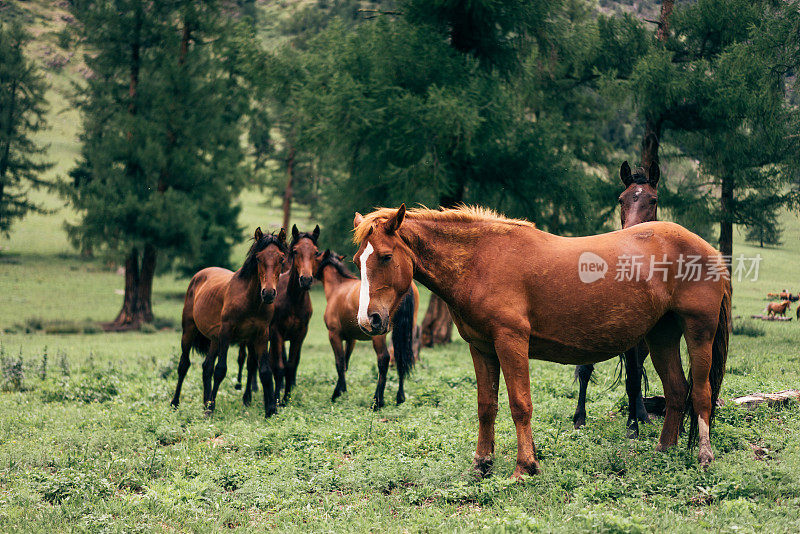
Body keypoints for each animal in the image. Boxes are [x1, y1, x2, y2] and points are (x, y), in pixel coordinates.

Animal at [170, 226, 290, 418]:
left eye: (281, 258)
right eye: (258, 258)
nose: (268, 293)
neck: (250, 301)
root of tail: (199, 276)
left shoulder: (261, 335)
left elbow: (264, 371)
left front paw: (271, 411)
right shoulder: (226, 332)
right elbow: (221, 370)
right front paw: (211, 409)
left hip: (214, 339)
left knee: (206, 367)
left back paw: (205, 402)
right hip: (188, 331)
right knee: (184, 365)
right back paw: (175, 403)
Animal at [238, 224, 322, 404]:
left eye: (316, 252)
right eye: (295, 251)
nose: (306, 280)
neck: (293, 300)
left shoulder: (300, 334)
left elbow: (290, 365)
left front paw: (286, 397)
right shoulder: (276, 333)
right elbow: (279, 367)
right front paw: (276, 398)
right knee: (251, 363)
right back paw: (248, 394)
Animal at [312, 249, 418, 408]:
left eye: (314, 258)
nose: (305, 279)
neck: (338, 288)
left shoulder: (334, 335)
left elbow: (339, 362)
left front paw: (337, 394)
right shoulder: (351, 339)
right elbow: (345, 362)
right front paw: (342, 390)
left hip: (379, 334)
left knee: (384, 359)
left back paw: (377, 401)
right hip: (405, 332)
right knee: (400, 358)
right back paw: (400, 398)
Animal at [356, 204, 732, 478]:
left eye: (386, 256)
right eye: (358, 260)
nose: (368, 320)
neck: (481, 260)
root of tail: (708, 250)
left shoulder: (511, 342)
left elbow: (520, 405)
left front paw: (525, 467)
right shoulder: (481, 348)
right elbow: (486, 406)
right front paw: (482, 464)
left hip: (699, 332)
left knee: (700, 393)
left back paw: (704, 456)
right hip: (661, 336)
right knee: (676, 391)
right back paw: (663, 451)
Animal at [580, 162, 660, 440]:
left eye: (653, 199)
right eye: (621, 199)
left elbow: (635, 377)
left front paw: (636, 422)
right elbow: (630, 378)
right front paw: (631, 427)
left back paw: (643, 415)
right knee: (586, 370)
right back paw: (580, 419)